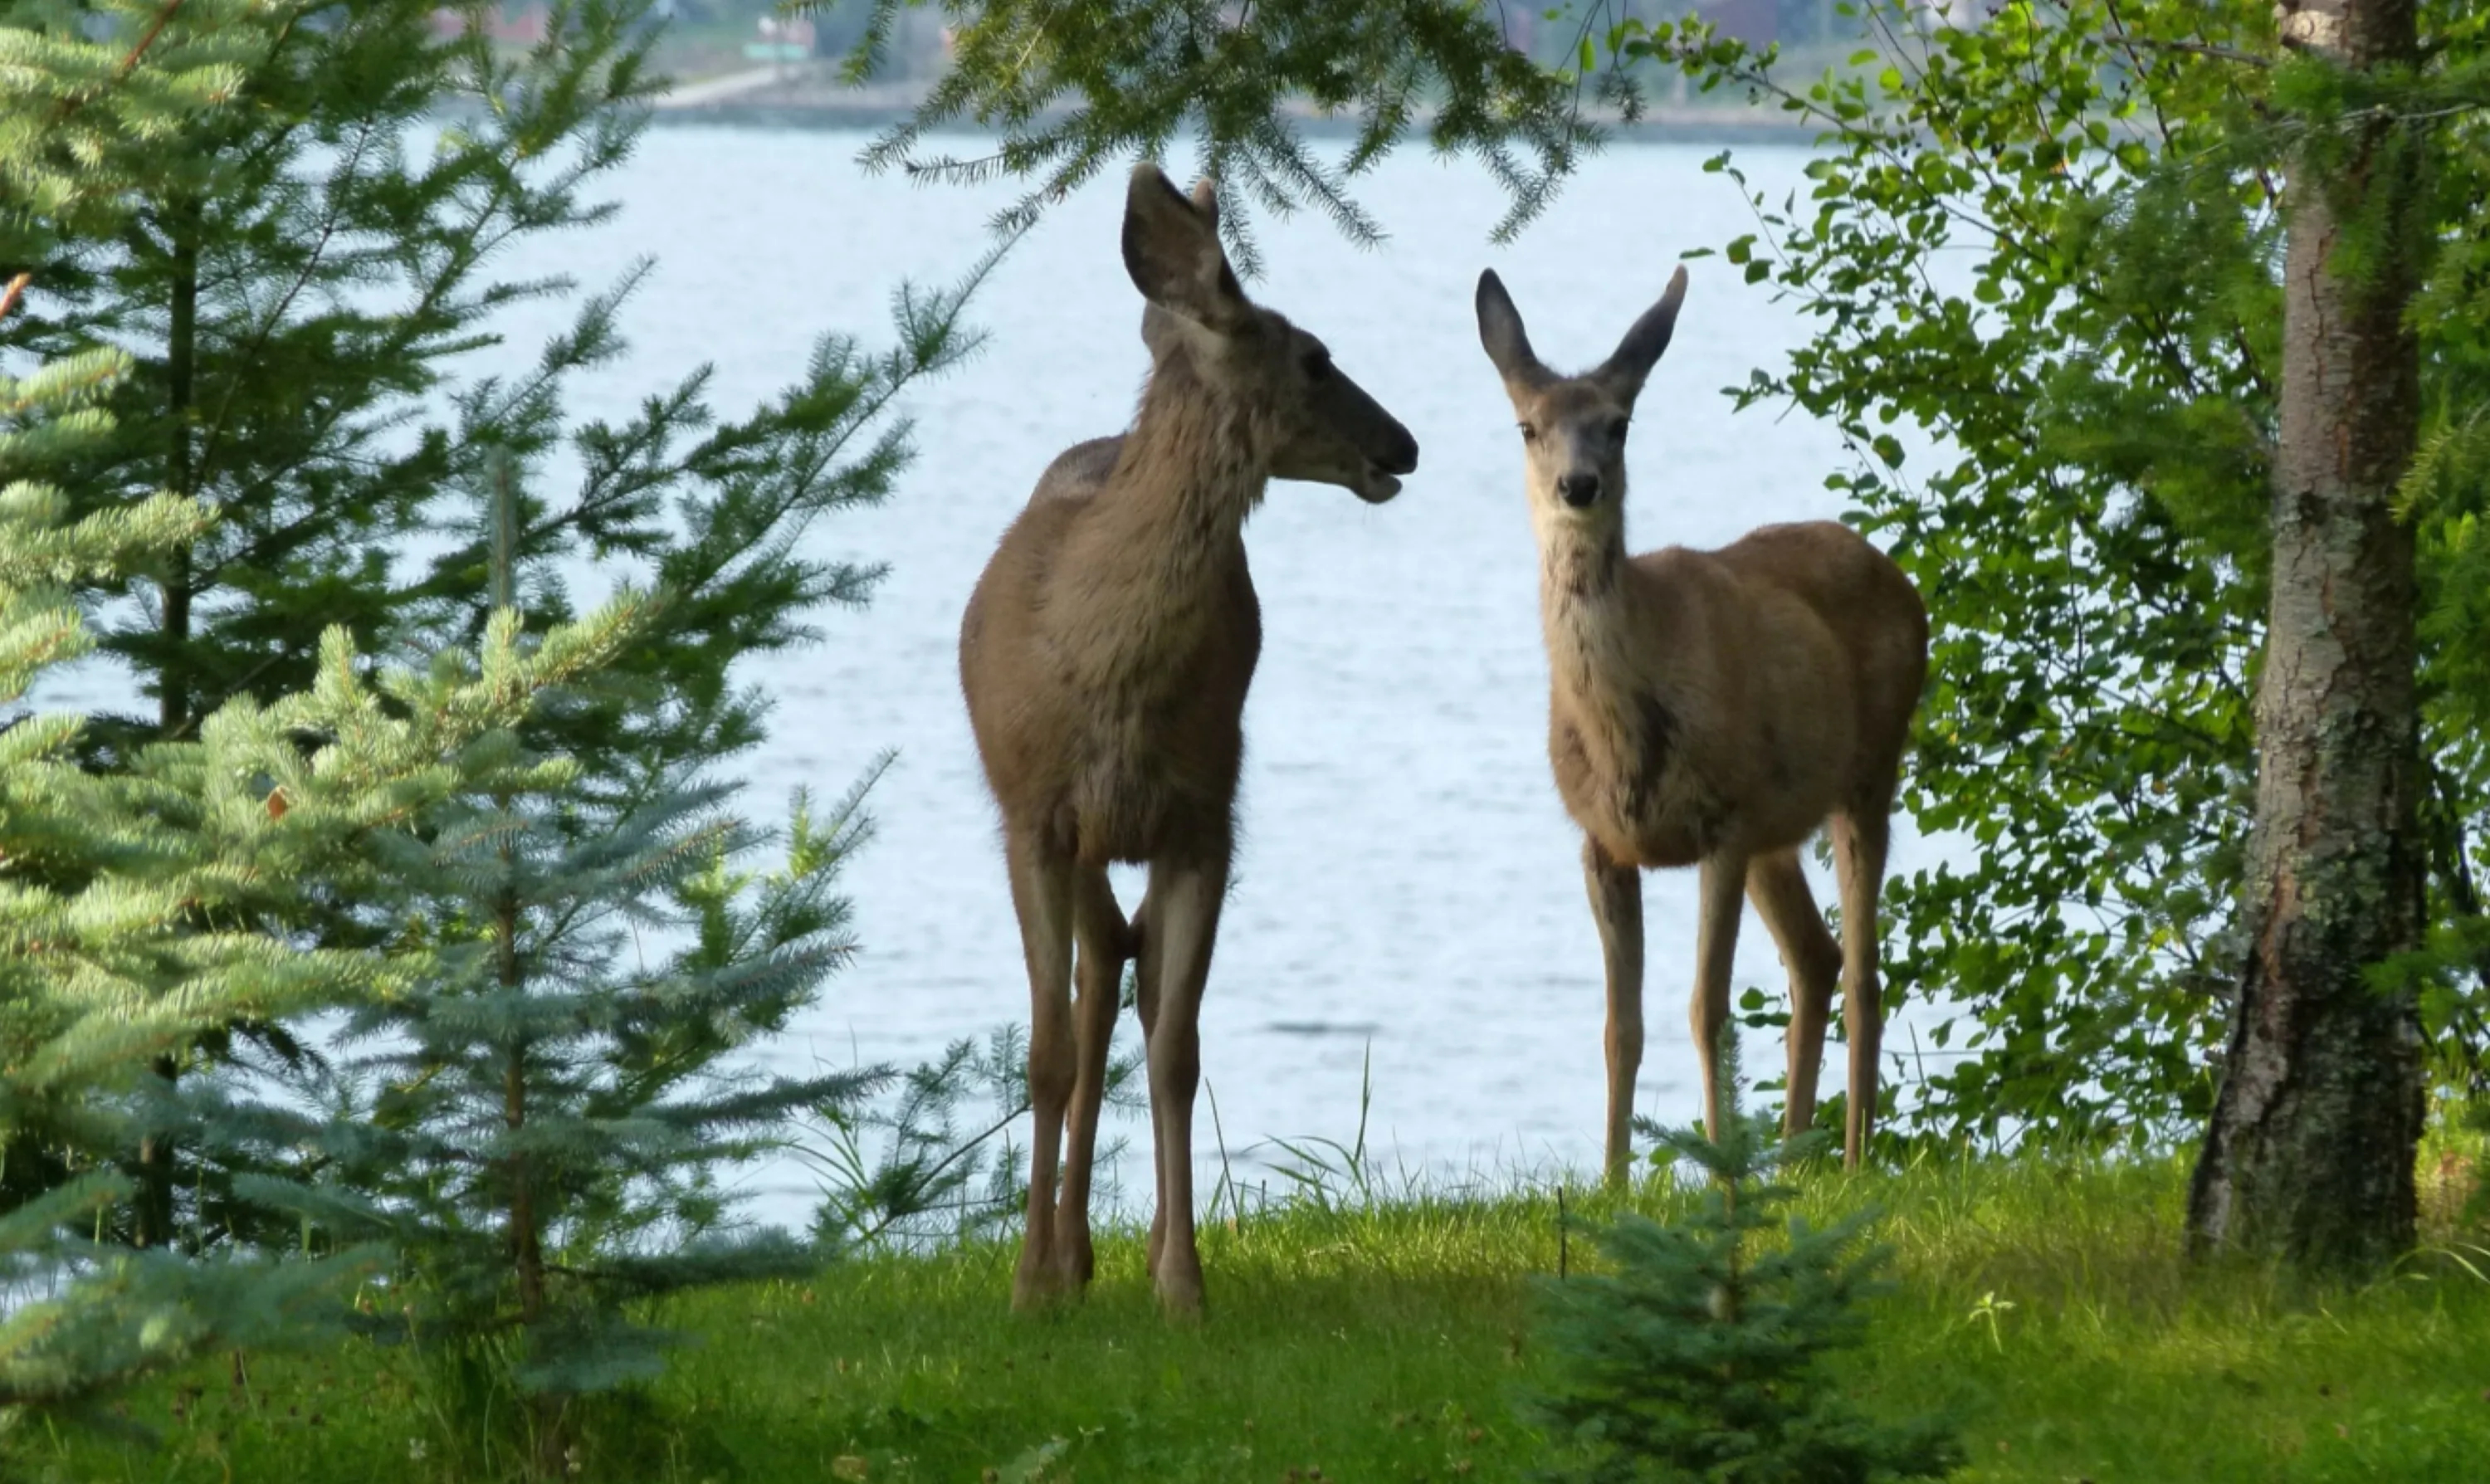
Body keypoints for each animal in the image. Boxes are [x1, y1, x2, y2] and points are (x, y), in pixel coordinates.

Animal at [959, 163, 1420, 1317]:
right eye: (1315, 357)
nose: (1403, 444)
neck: (1110, 677)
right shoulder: (1032, 816)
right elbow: (1044, 1052)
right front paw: (1028, 1285)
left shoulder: (1208, 814)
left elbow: (1177, 1051)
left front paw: (1182, 1283)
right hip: (1069, 837)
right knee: (1091, 989)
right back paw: (1065, 1258)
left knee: (1121, 972)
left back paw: (1098, 1252)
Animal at [1472, 264, 1928, 1179]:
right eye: (1528, 426)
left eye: (1618, 424)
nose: (1580, 486)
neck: (1624, 737)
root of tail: (1903, 581)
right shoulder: (1602, 841)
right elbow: (1620, 1027)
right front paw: (1611, 1182)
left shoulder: (1723, 820)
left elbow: (1705, 1011)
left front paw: (1719, 1173)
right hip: (1778, 826)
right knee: (1816, 958)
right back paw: (1791, 1159)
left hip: (1867, 772)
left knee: (1864, 971)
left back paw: (1850, 1162)